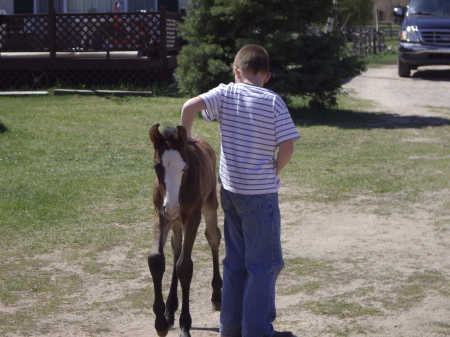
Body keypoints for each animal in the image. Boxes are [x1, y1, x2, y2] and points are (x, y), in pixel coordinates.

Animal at [148, 123, 221, 336]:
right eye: (157, 167)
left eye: (184, 168)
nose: (172, 208)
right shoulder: (160, 214)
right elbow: (156, 259)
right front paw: (160, 322)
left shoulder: (192, 217)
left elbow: (185, 266)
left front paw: (185, 325)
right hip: (175, 222)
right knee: (176, 246)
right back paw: (170, 309)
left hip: (209, 205)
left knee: (213, 237)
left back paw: (216, 295)